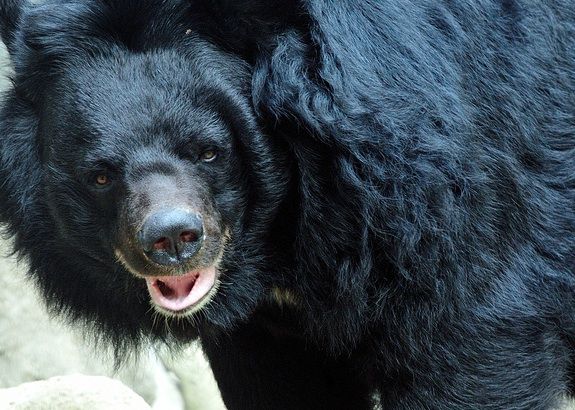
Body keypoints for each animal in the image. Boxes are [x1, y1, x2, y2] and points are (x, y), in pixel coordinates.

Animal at [0, 0, 572, 408]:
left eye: (209, 151)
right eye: (100, 175)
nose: (171, 239)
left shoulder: (444, 202)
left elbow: (471, 339)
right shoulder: (266, 331)